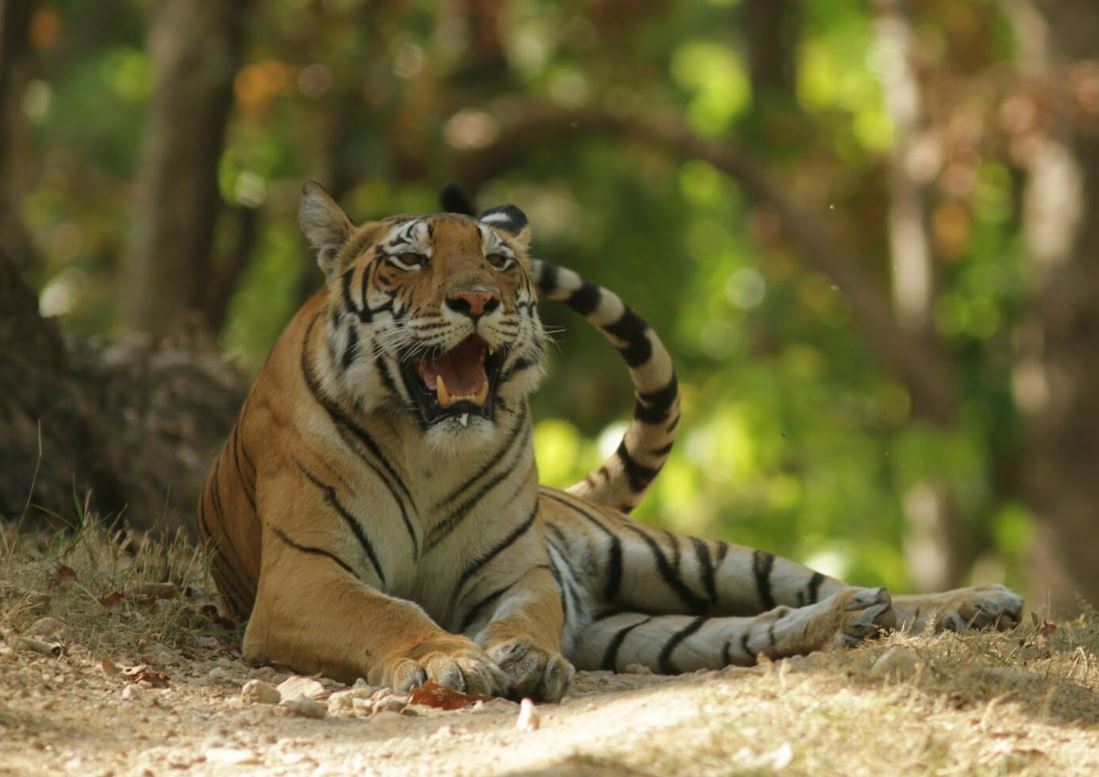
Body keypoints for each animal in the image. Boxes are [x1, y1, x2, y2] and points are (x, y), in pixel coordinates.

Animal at [198, 182, 1024, 702]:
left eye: (497, 260)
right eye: (410, 258)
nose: (478, 301)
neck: (427, 447)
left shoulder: (517, 570)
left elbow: (525, 616)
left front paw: (526, 659)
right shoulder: (304, 576)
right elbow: (389, 612)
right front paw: (450, 661)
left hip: (680, 556)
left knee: (807, 582)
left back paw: (963, 602)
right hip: (636, 629)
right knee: (741, 631)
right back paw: (846, 620)